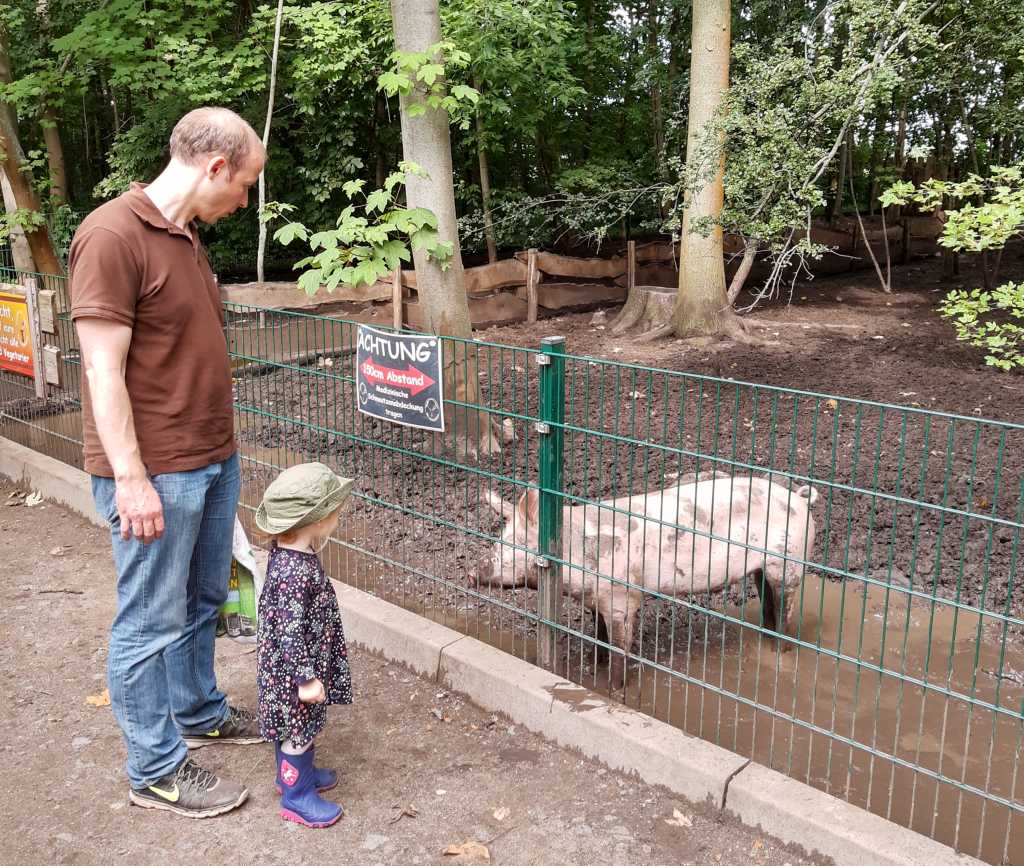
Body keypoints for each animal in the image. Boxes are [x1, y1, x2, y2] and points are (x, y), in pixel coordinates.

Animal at [475, 470, 819, 687]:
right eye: (500, 536)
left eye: (514, 542)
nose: (473, 571)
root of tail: (801, 498)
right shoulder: (597, 599)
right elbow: (599, 635)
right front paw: (596, 663)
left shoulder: (622, 598)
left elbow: (619, 647)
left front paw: (613, 688)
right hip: (761, 569)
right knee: (768, 605)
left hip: (789, 563)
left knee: (785, 609)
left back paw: (781, 653)